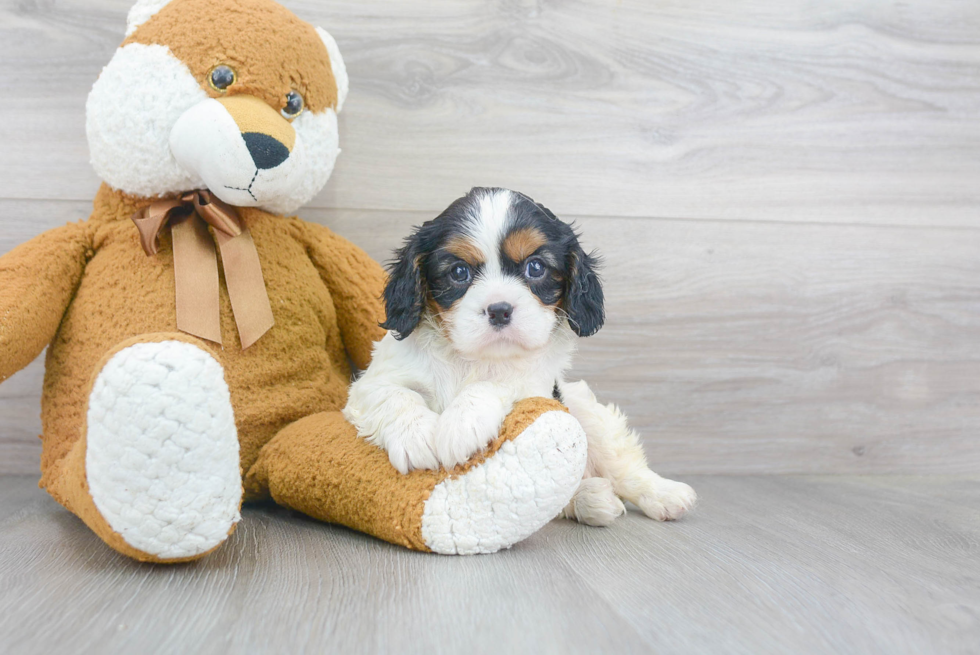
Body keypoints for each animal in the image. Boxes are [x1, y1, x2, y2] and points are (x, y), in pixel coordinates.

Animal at [344, 187, 696, 524]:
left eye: (535, 267)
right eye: (459, 272)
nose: (499, 310)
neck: (473, 359)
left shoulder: (535, 387)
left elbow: (495, 384)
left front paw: (461, 422)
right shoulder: (368, 386)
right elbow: (394, 395)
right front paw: (415, 437)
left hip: (587, 410)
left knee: (622, 465)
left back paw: (663, 494)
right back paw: (593, 498)